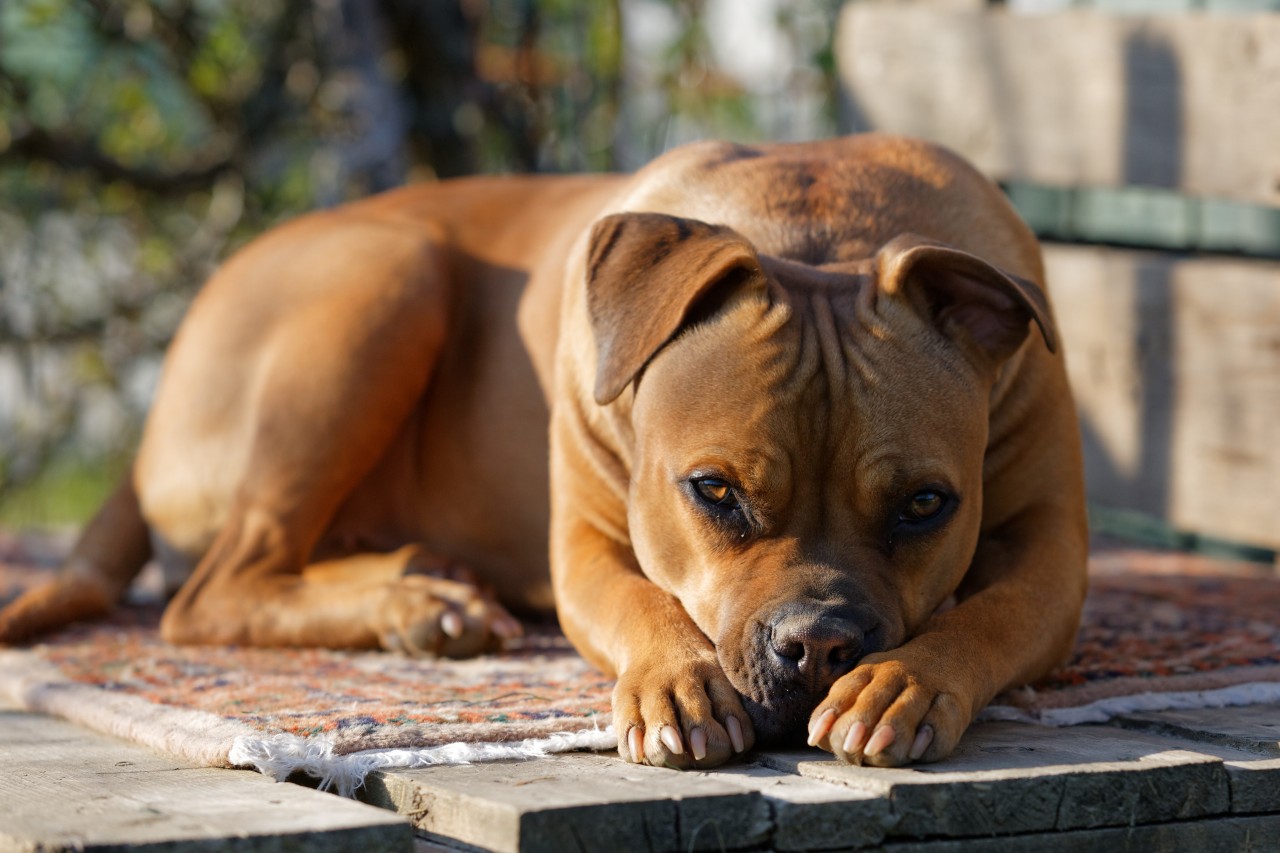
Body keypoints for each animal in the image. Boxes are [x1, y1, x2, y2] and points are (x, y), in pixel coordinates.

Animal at [0, 136, 1090, 768]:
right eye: (713, 492)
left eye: (924, 506)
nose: (819, 647)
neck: (818, 234)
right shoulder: (587, 545)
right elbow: (642, 600)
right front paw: (674, 681)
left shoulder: (1054, 552)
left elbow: (992, 613)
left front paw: (902, 682)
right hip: (385, 275)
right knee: (212, 589)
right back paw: (419, 606)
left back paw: (424, 582)